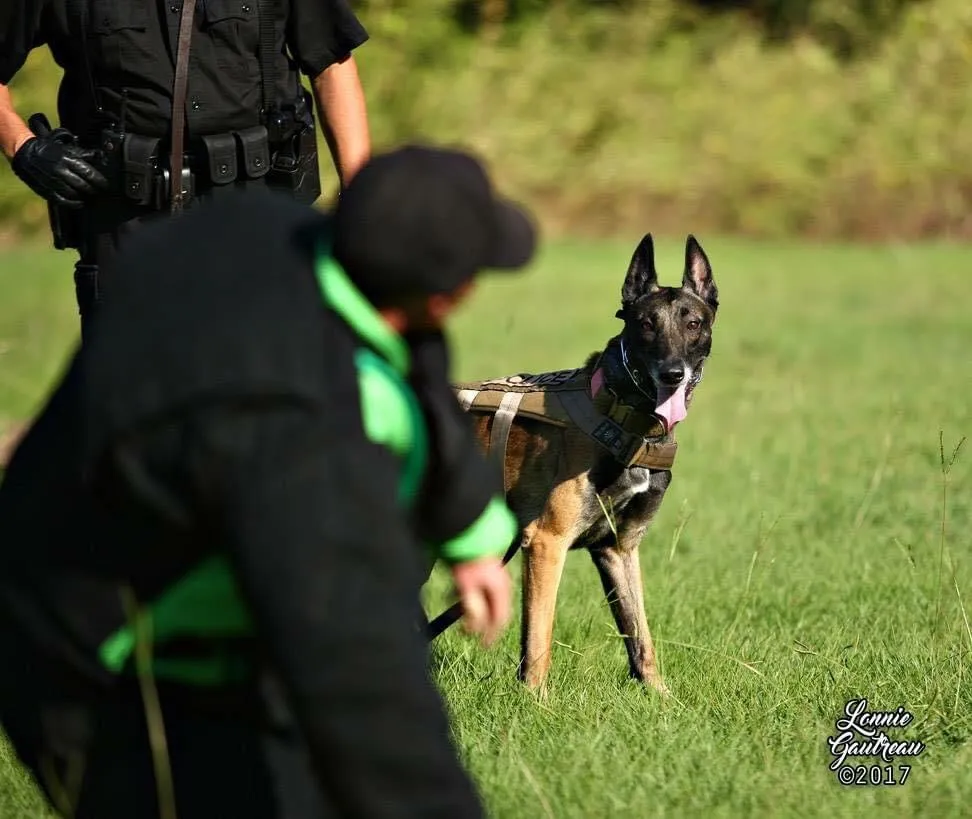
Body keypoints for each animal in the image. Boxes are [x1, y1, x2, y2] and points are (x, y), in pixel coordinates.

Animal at [452, 234, 716, 696]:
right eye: (646, 324)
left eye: (693, 323)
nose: (672, 374)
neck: (622, 415)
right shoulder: (546, 543)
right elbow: (538, 641)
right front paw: (535, 702)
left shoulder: (618, 549)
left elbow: (641, 637)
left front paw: (662, 700)